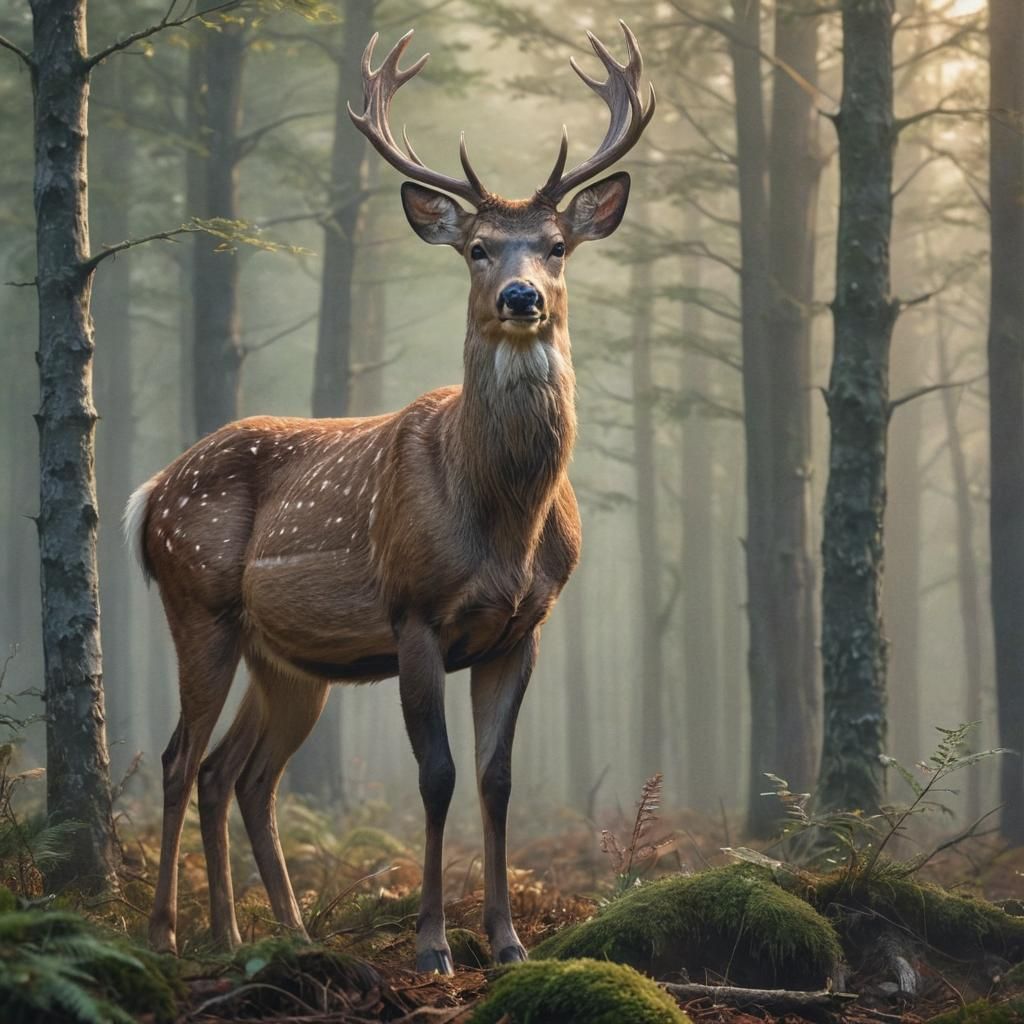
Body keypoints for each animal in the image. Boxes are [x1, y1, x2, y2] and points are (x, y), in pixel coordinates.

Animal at [126, 23, 653, 974]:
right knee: (180, 757)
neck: (503, 523)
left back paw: (264, 931)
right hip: (197, 601)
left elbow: (496, 778)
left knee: (239, 773)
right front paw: (433, 944)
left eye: (556, 245)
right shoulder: (414, 612)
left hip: (287, 659)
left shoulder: (524, 627)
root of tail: (149, 494)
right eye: (477, 247)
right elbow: (435, 775)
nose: (522, 296)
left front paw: (508, 942)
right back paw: (170, 934)